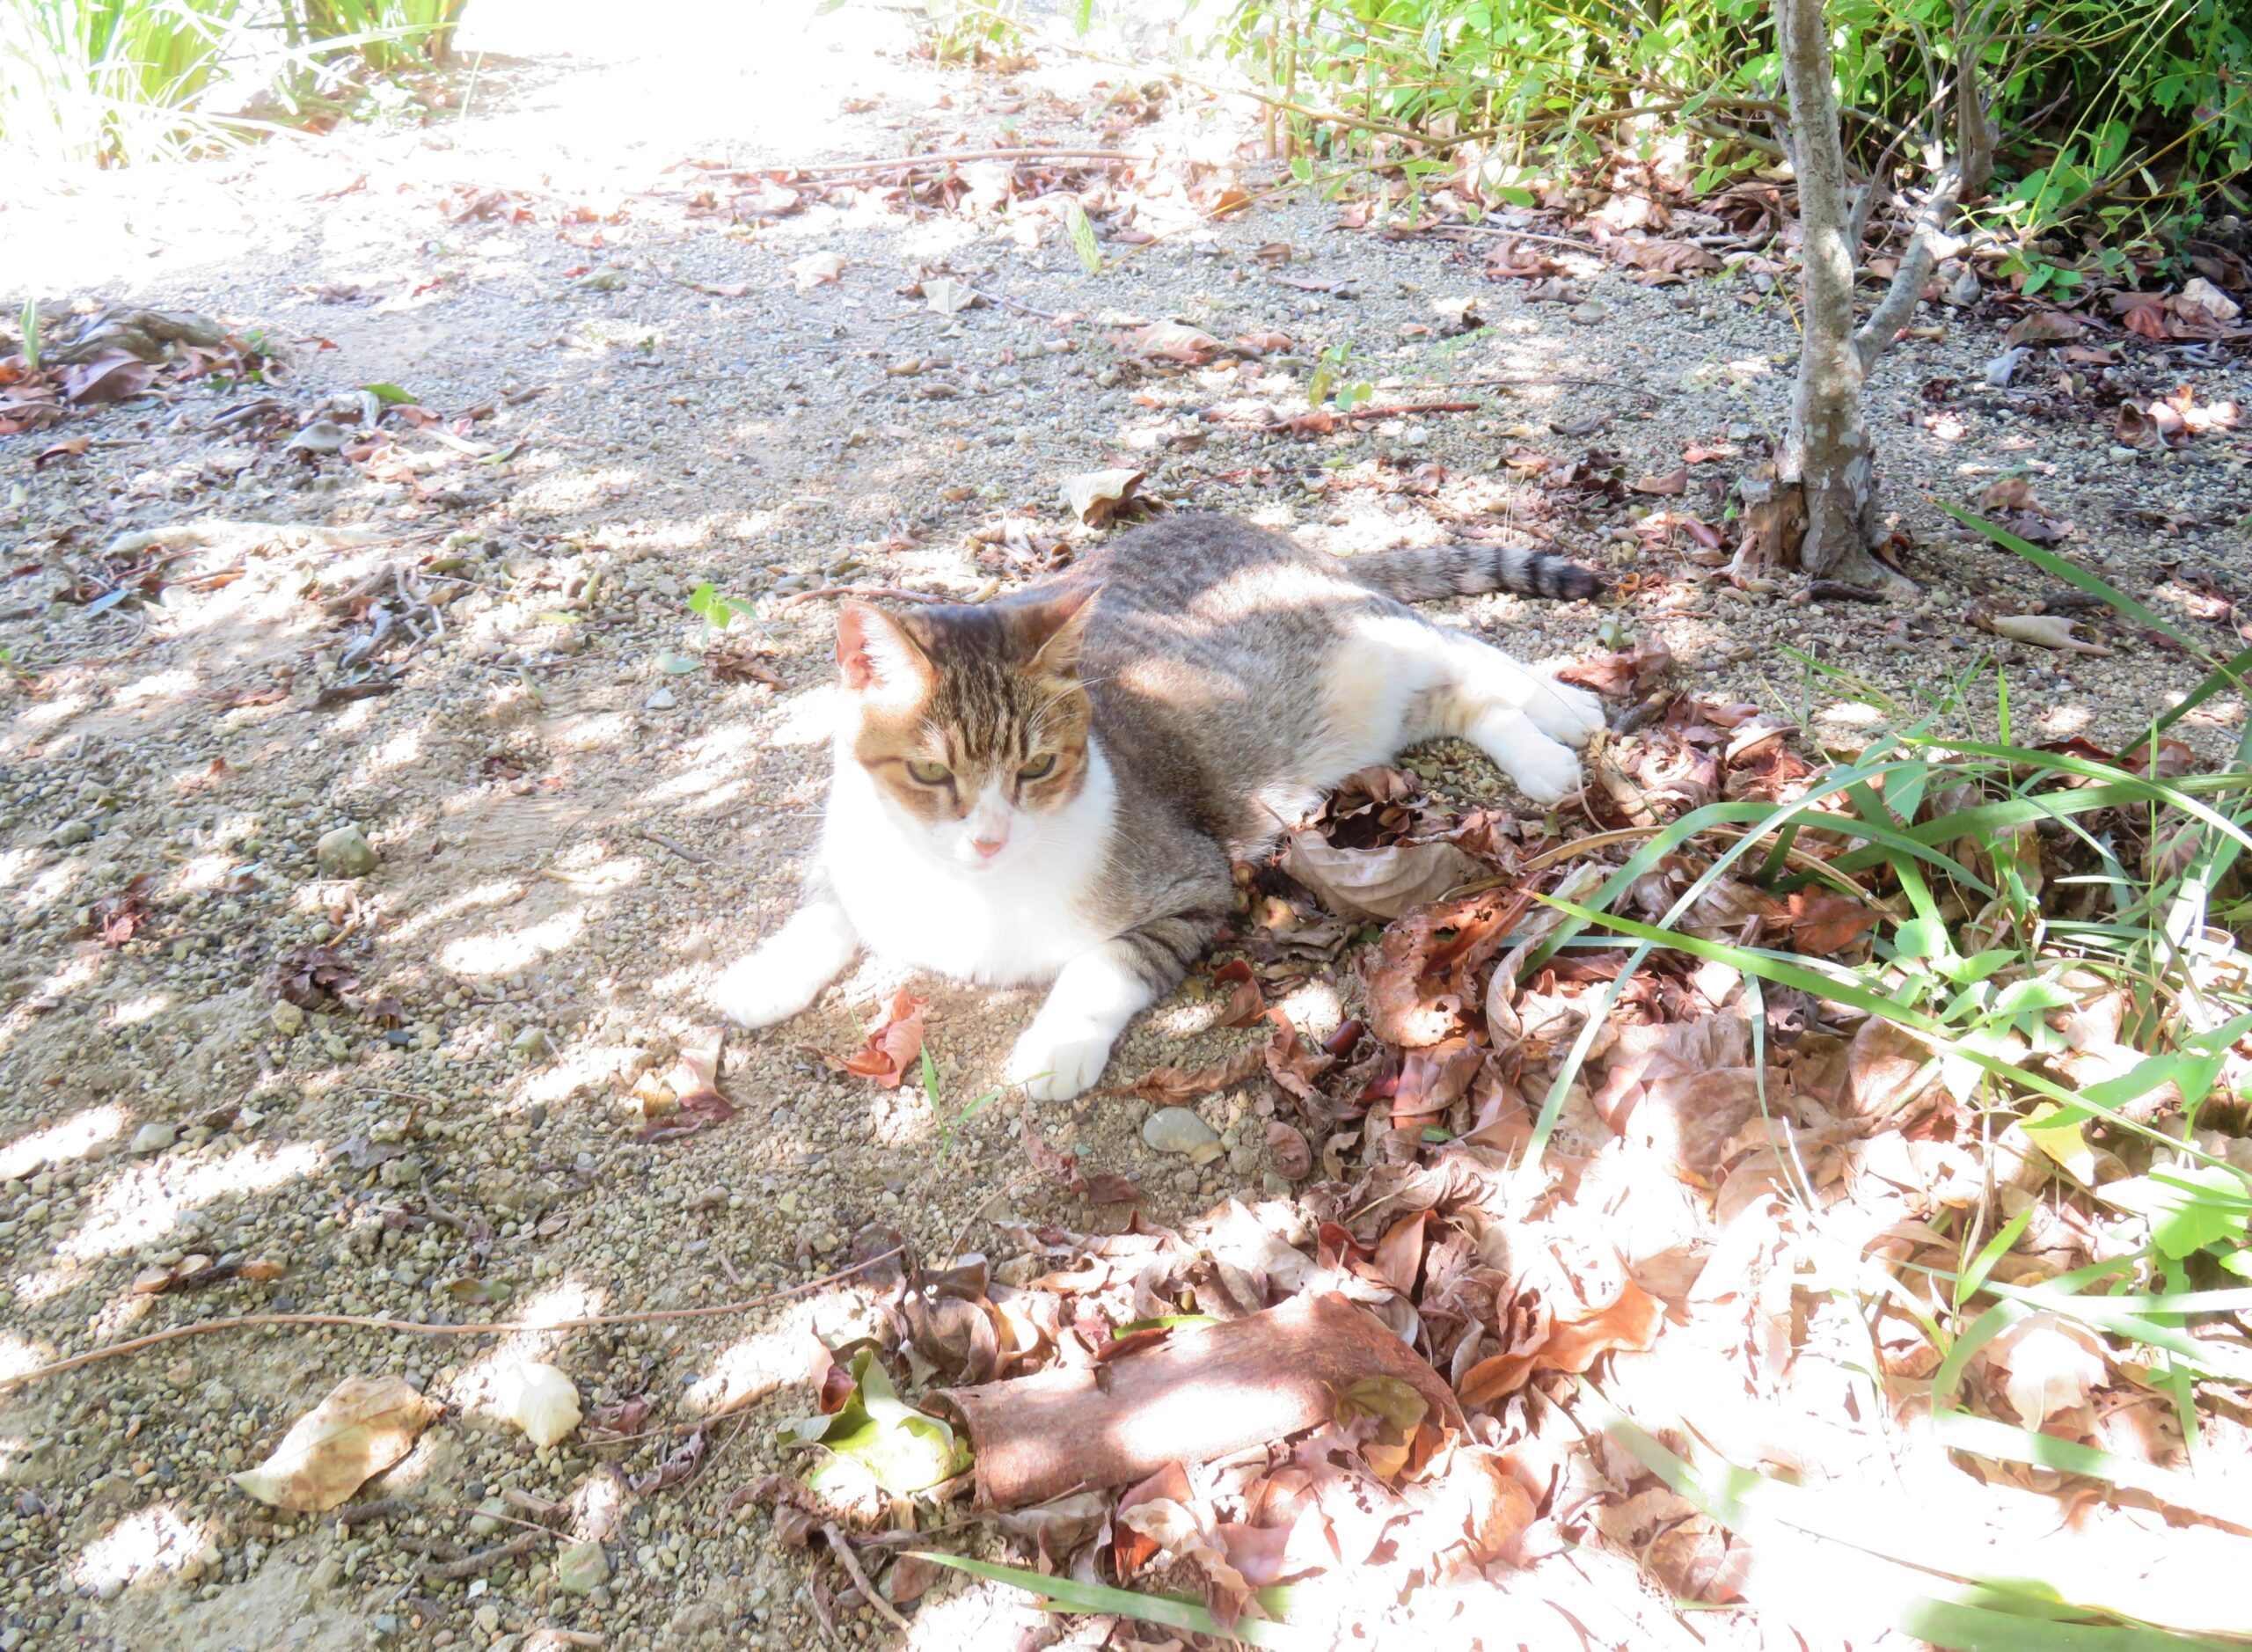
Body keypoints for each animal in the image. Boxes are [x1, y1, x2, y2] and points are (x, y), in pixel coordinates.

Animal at [711, 515, 1612, 1111]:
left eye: (1037, 766)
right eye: (931, 772)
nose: (990, 838)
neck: (968, 894)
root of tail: (1243, 521)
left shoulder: (1196, 885)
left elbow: (1104, 963)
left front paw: (1057, 1043)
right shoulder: (852, 854)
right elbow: (826, 905)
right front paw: (768, 972)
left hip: (1379, 634)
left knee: (1474, 654)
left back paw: (1562, 715)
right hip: (1376, 717)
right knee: (1465, 703)